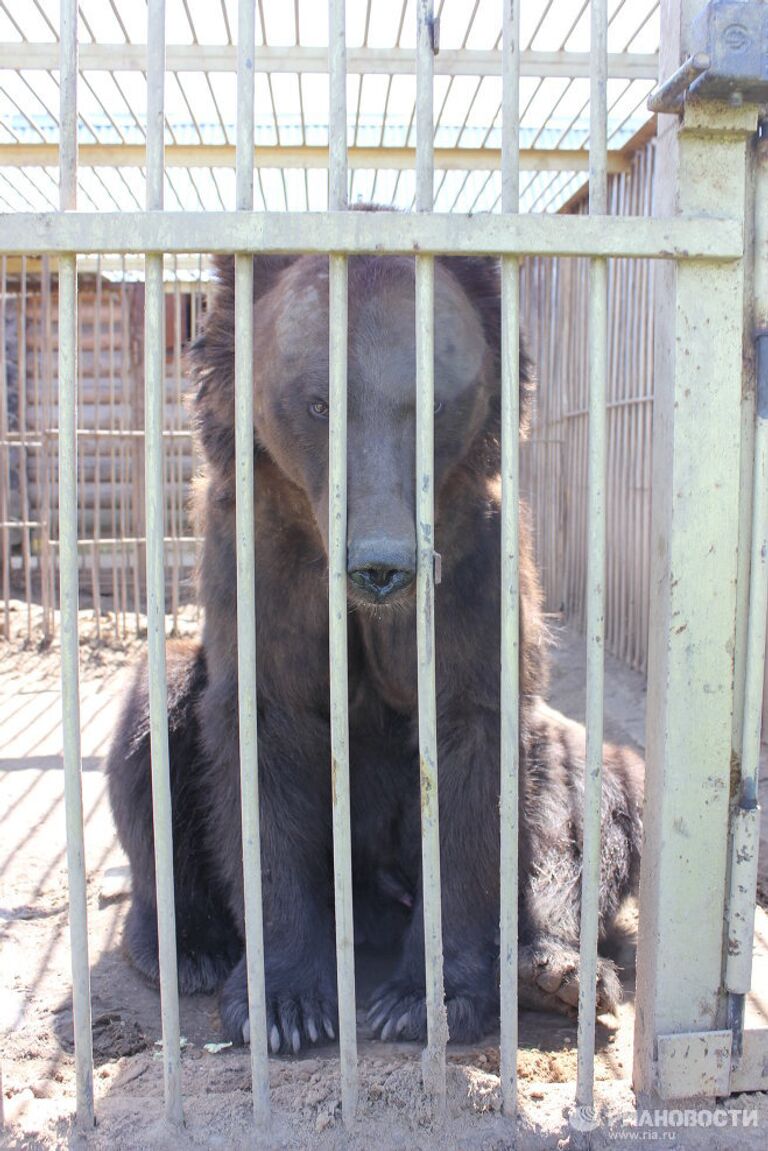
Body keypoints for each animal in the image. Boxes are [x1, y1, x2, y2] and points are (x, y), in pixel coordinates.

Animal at [106, 249, 644, 1054]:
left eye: (432, 403)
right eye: (318, 403)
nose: (381, 565)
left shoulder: (472, 565)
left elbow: (470, 749)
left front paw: (423, 1000)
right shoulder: (263, 567)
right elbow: (263, 742)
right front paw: (286, 1005)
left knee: (587, 787)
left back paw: (552, 968)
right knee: (154, 726)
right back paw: (190, 944)